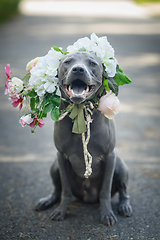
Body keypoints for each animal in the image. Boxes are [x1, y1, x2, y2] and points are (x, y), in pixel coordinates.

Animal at [35, 51, 132, 226]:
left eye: (92, 63)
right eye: (68, 62)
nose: (78, 69)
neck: (80, 110)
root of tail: (88, 197)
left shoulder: (110, 156)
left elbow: (105, 191)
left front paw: (106, 214)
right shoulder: (61, 157)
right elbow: (65, 190)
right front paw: (61, 211)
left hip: (120, 166)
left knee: (123, 190)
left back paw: (125, 206)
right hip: (54, 166)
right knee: (57, 190)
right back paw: (47, 201)